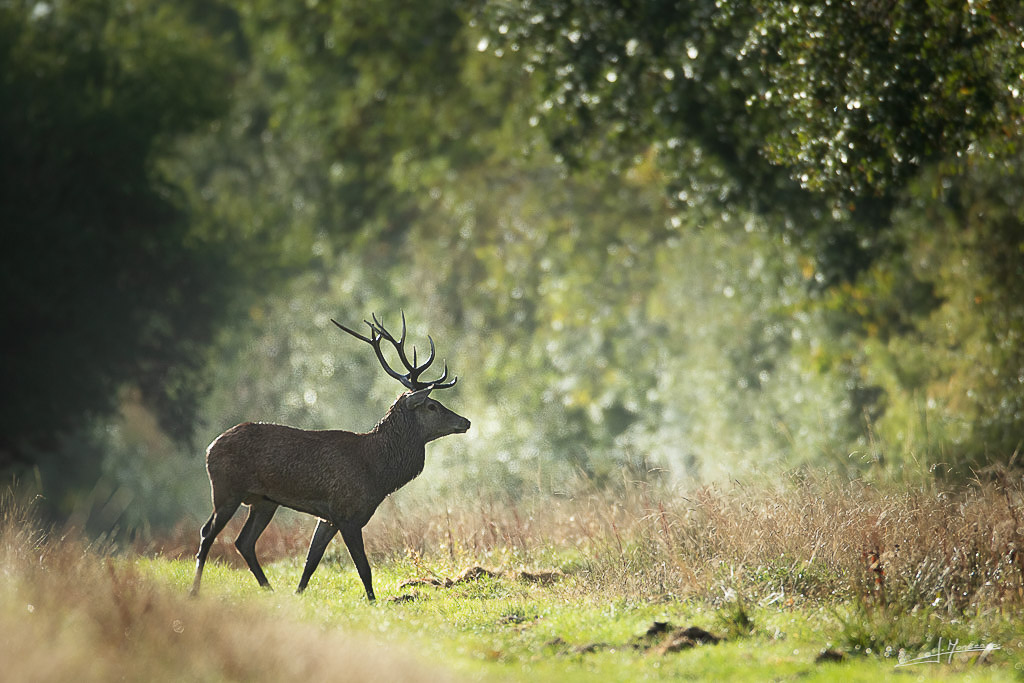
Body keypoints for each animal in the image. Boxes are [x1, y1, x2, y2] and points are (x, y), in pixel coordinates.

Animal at [189, 313, 470, 601]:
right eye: (432, 405)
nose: (466, 421)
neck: (378, 472)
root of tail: (210, 447)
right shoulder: (348, 513)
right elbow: (363, 568)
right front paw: (373, 602)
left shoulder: (328, 517)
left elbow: (311, 562)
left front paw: (298, 595)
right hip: (227, 489)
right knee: (207, 533)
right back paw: (194, 590)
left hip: (264, 501)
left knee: (243, 541)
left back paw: (269, 589)